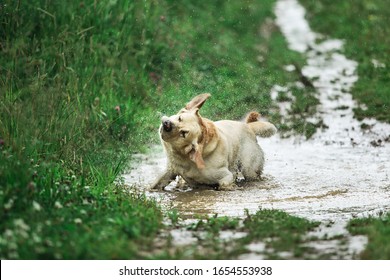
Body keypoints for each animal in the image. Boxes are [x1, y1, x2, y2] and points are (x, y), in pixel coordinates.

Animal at [150, 94, 278, 190]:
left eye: (183, 133)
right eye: (179, 118)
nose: (166, 124)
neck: (186, 158)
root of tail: (248, 127)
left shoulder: (225, 175)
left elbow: (224, 184)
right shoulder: (171, 169)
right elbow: (155, 184)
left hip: (249, 168)